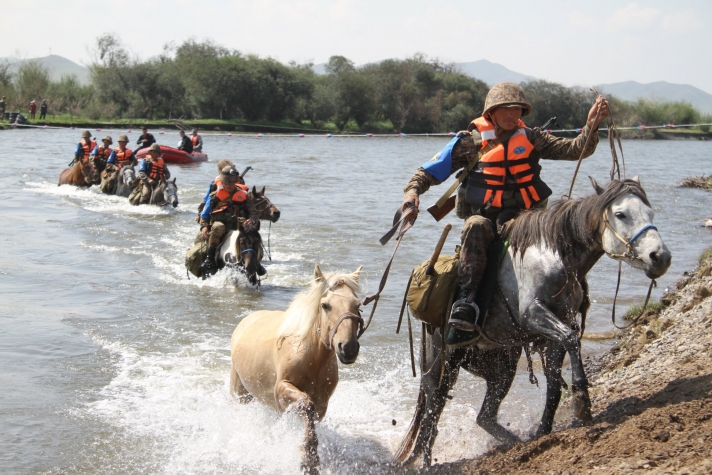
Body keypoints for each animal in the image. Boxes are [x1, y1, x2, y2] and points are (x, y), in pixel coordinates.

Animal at [231, 266, 364, 474]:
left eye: (358, 305)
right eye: (325, 305)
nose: (348, 348)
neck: (311, 358)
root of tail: (244, 322)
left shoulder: (321, 405)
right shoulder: (282, 390)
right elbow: (306, 403)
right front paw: (309, 459)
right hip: (240, 392)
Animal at [398, 178, 672, 468]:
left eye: (650, 213)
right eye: (620, 214)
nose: (660, 257)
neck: (554, 257)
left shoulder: (557, 329)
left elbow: (555, 378)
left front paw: (544, 430)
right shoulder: (533, 314)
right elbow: (571, 342)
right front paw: (582, 401)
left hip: (501, 369)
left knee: (483, 416)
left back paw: (516, 443)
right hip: (442, 364)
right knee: (433, 411)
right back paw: (427, 462)